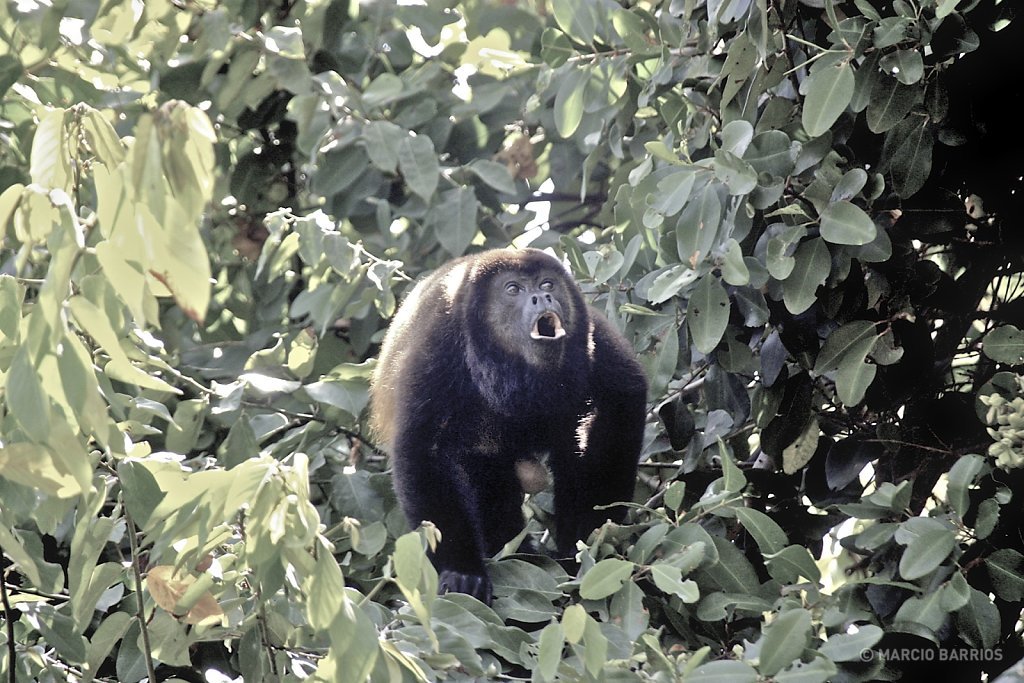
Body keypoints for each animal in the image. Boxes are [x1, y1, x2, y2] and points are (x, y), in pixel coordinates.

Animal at [372, 248, 647, 602]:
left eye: (548, 283)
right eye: (513, 289)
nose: (542, 297)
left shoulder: (592, 334)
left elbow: (624, 395)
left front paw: (594, 532)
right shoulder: (436, 347)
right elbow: (421, 451)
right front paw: (462, 572)